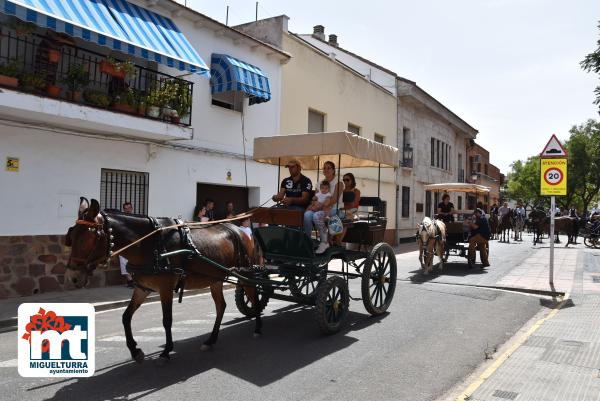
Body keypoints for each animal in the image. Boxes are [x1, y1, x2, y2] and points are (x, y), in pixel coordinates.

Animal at [65, 197, 262, 362]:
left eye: (87, 238)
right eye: (71, 236)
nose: (72, 277)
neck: (150, 244)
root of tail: (240, 231)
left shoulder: (165, 288)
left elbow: (167, 320)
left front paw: (167, 350)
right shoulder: (143, 287)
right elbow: (126, 317)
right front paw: (135, 350)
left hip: (246, 275)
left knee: (254, 297)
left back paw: (258, 328)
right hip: (216, 279)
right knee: (221, 306)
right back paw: (210, 340)